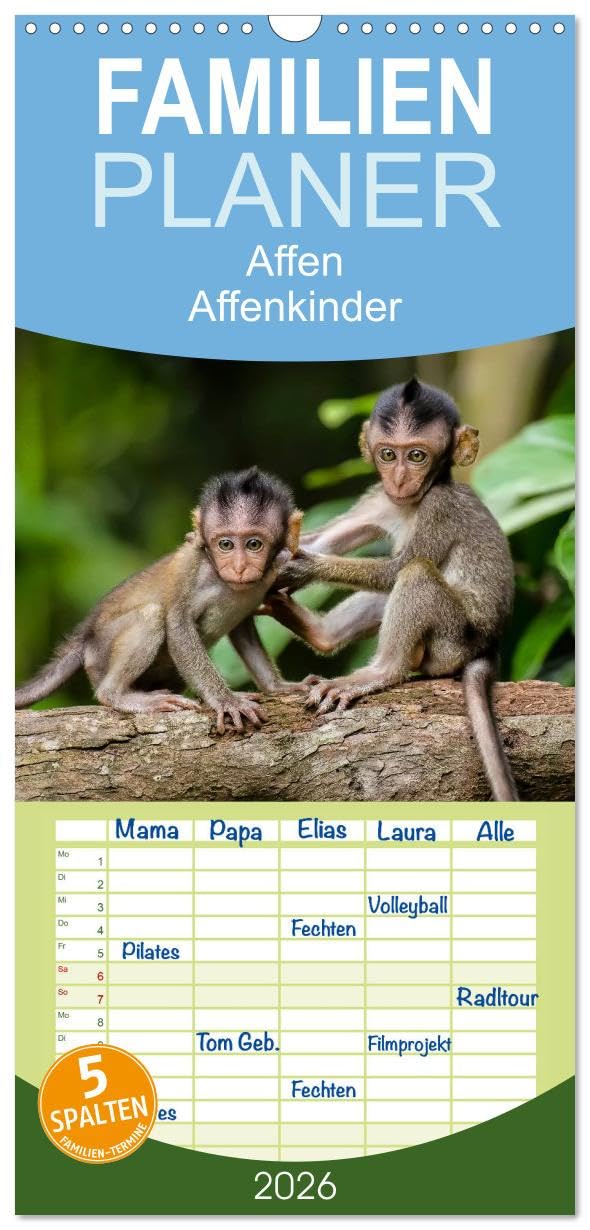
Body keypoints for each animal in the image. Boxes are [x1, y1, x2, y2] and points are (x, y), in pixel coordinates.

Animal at [15, 467, 305, 734]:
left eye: (254, 544)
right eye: (226, 545)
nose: (239, 567)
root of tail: (86, 635)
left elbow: (243, 627)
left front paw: (278, 686)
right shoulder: (192, 566)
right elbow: (178, 625)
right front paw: (226, 700)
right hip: (100, 653)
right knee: (151, 615)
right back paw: (118, 694)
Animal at [265, 378, 518, 802]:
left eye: (417, 455)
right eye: (387, 454)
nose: (399, 478)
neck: (412, 503)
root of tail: (488, 645)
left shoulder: (439, 507)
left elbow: (396, 569)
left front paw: (305, 567)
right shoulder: (379, 499)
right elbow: (324, 540)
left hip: (451, 642)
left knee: (414, 574)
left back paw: (380, 672)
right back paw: (319, 633)